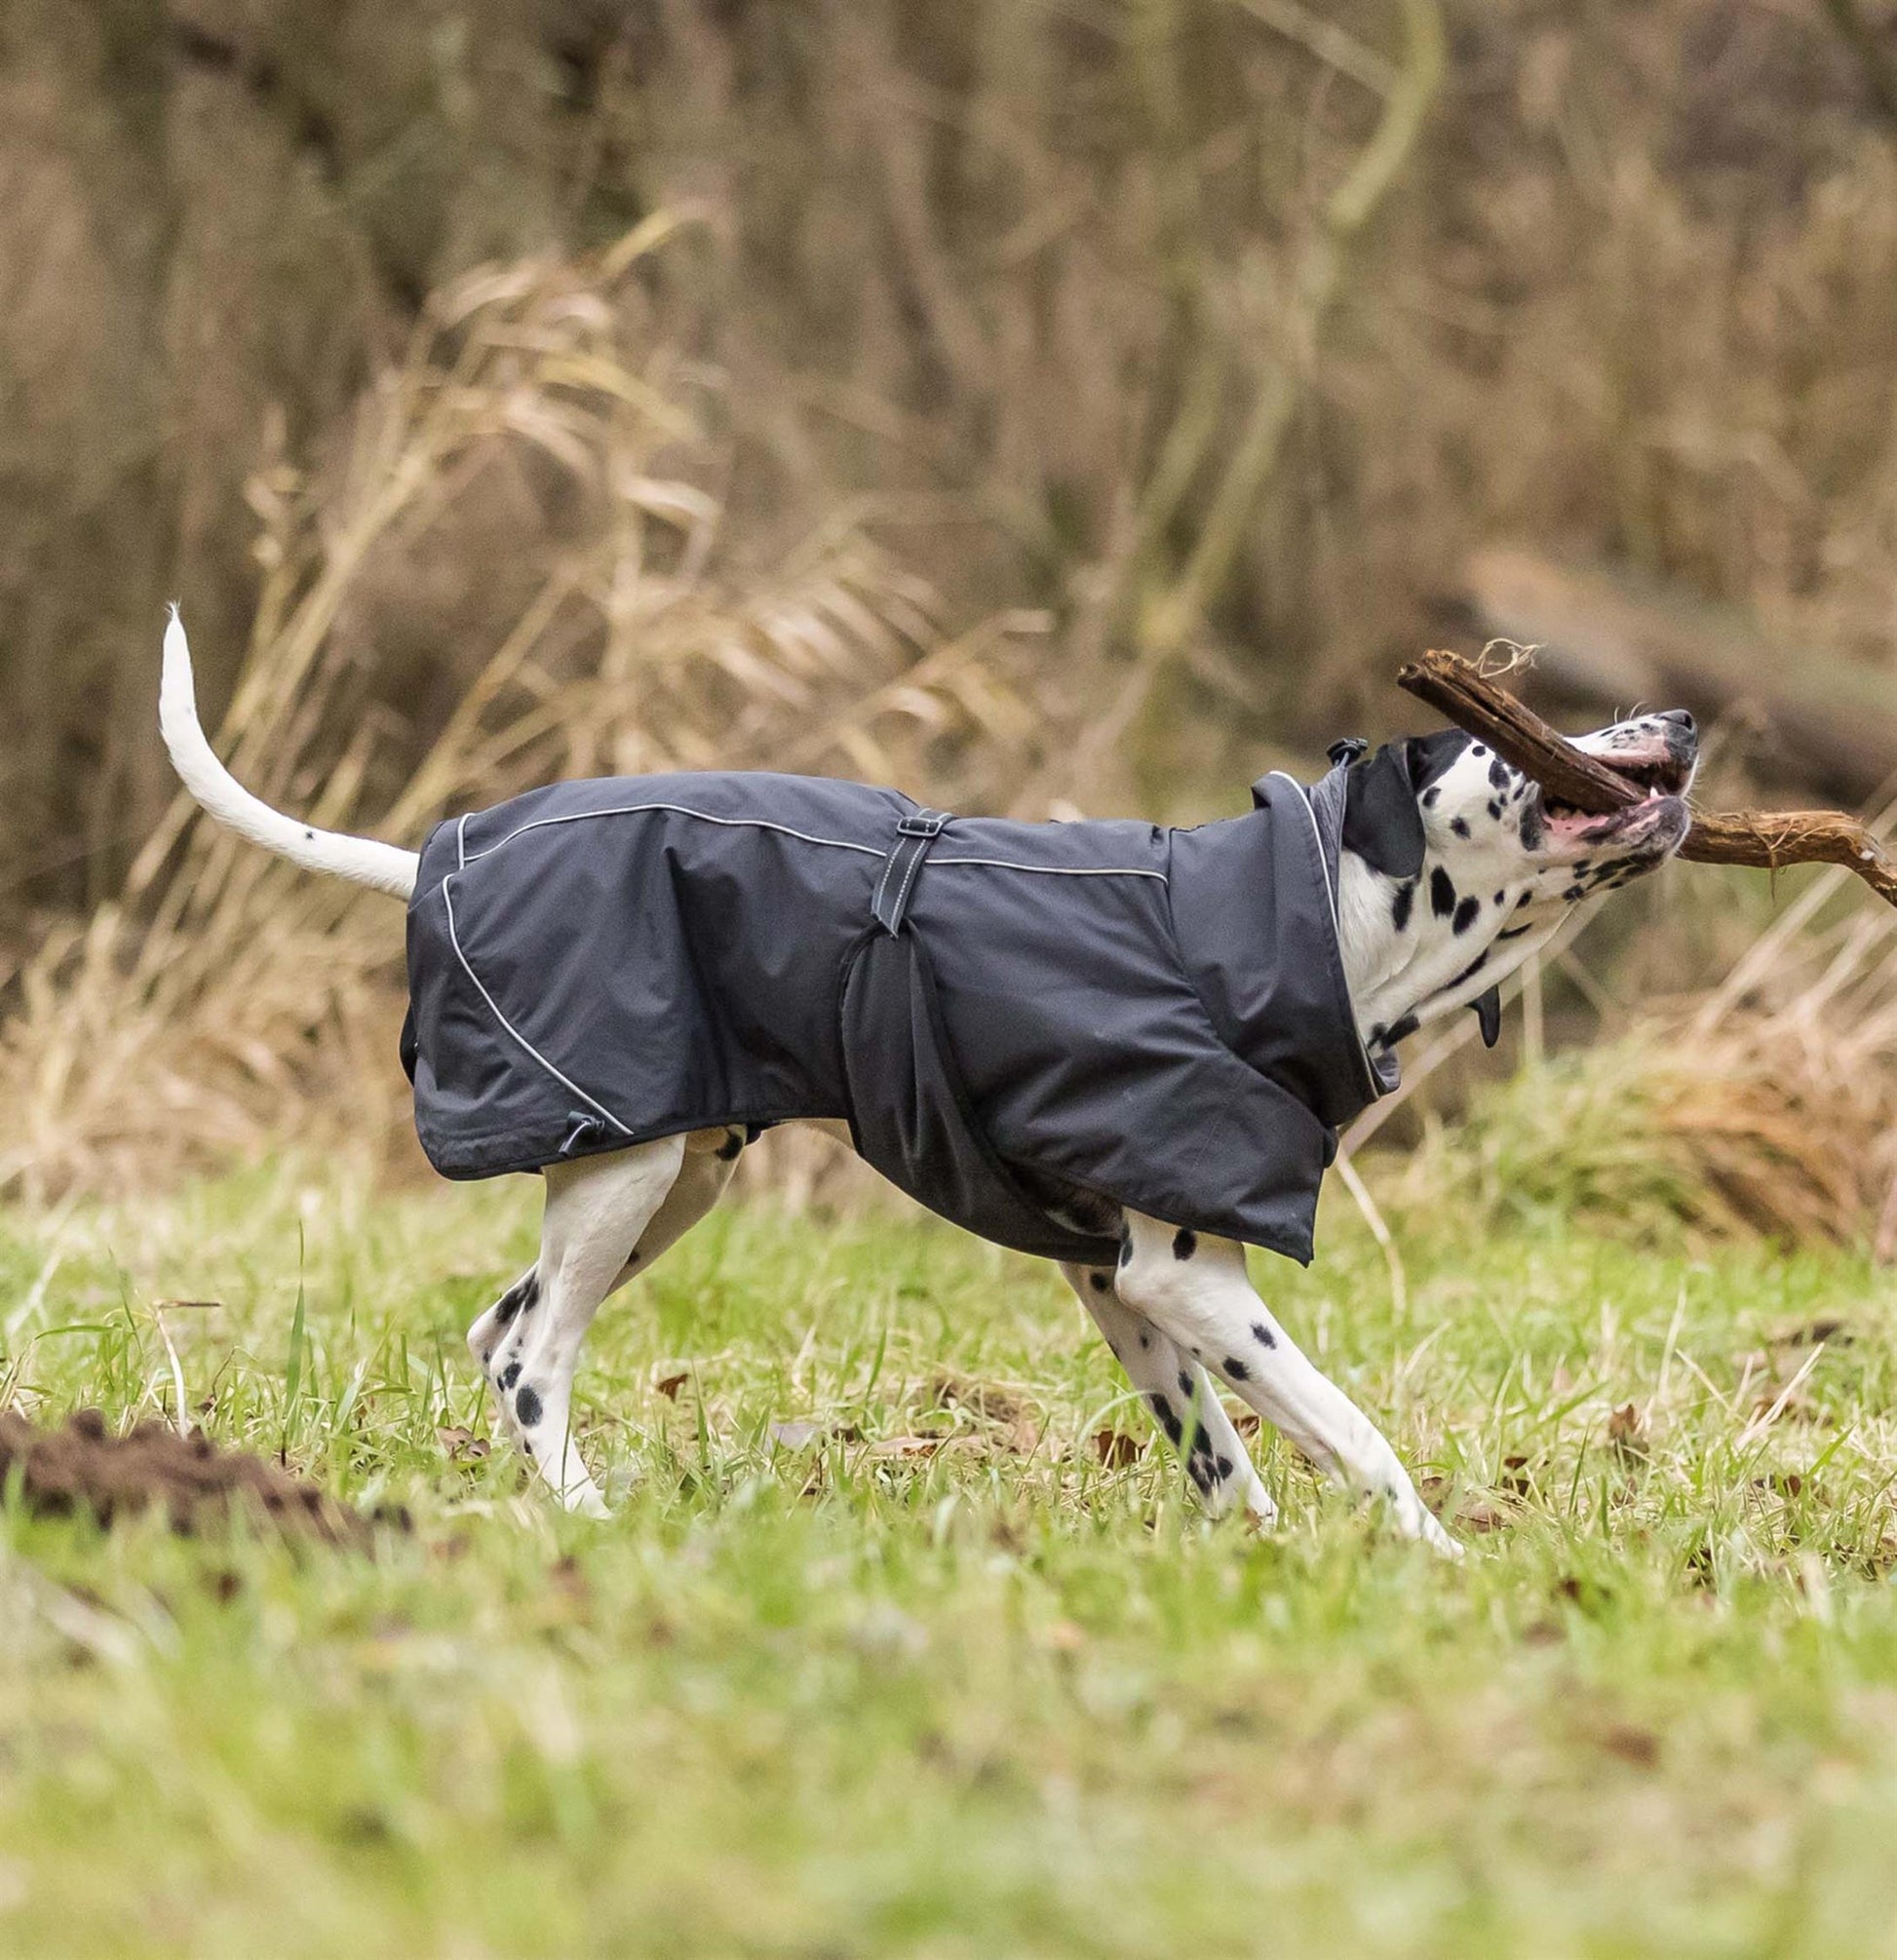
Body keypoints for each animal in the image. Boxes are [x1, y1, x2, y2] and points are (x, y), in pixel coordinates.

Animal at [162, 611, 1692, 1544]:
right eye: (1514, 733)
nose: (1678, 717)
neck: (1298, 918)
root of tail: (434, 859)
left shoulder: (1115, 1272)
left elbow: (1217, 1452)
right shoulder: (1191, 1271)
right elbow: (1355, 1435)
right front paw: (1441, 1561)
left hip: (672, 1176)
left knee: (500, 1331)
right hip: (627, 1169)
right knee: (532, 1359)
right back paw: (593, 1518)